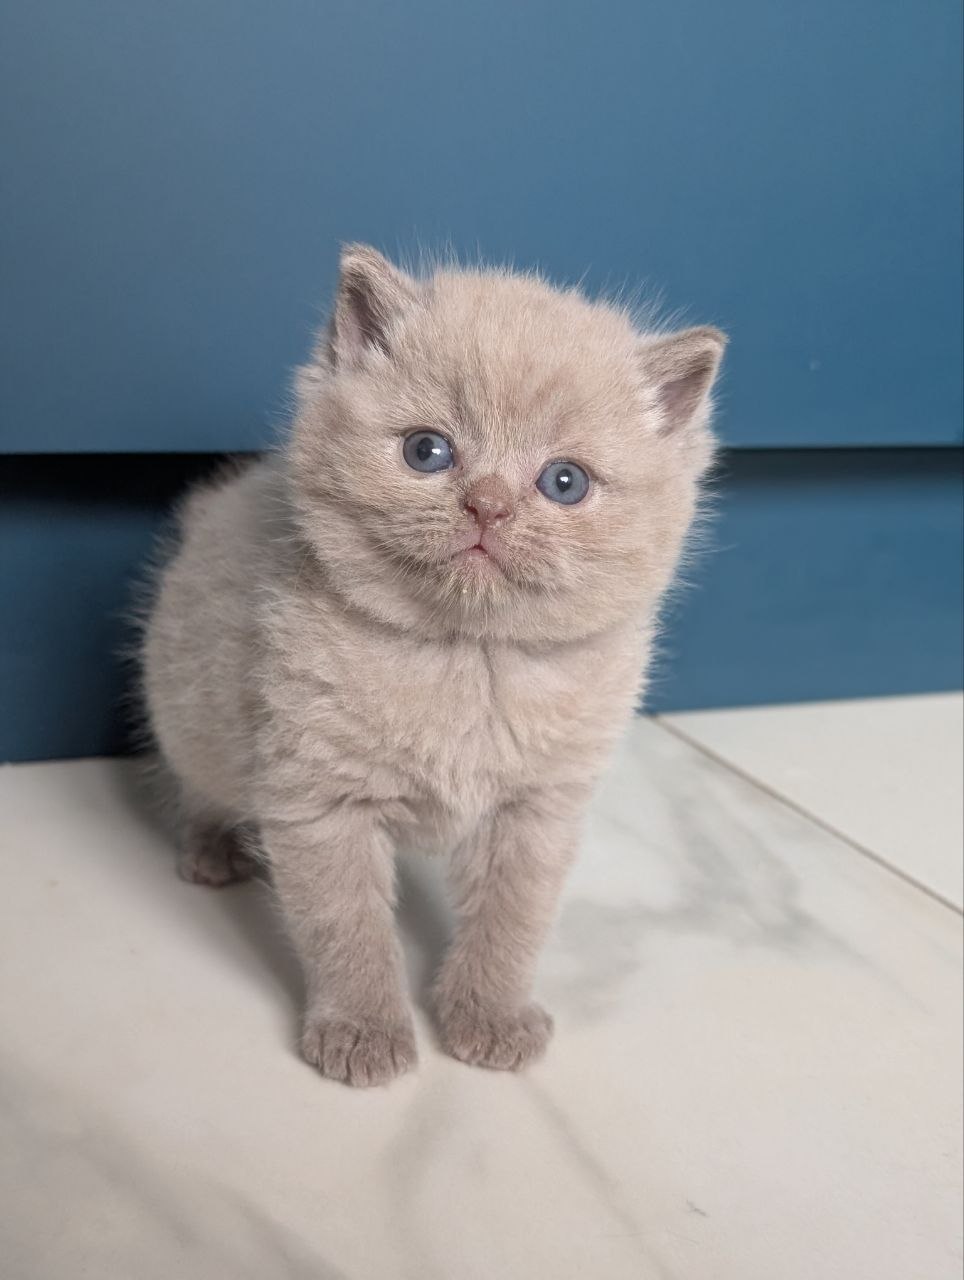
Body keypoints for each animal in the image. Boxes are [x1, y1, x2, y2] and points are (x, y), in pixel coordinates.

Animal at [141, 245, 725, 1086]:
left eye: (565, 481)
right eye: (428, 450)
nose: (487, 504)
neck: (467, 662)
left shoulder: (537, 810)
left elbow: (513, 922)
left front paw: (490, 1016)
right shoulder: (320, 800)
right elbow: (346, 927)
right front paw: (362, 1031)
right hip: (192, 712)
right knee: (200, 784)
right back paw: (211, 850)